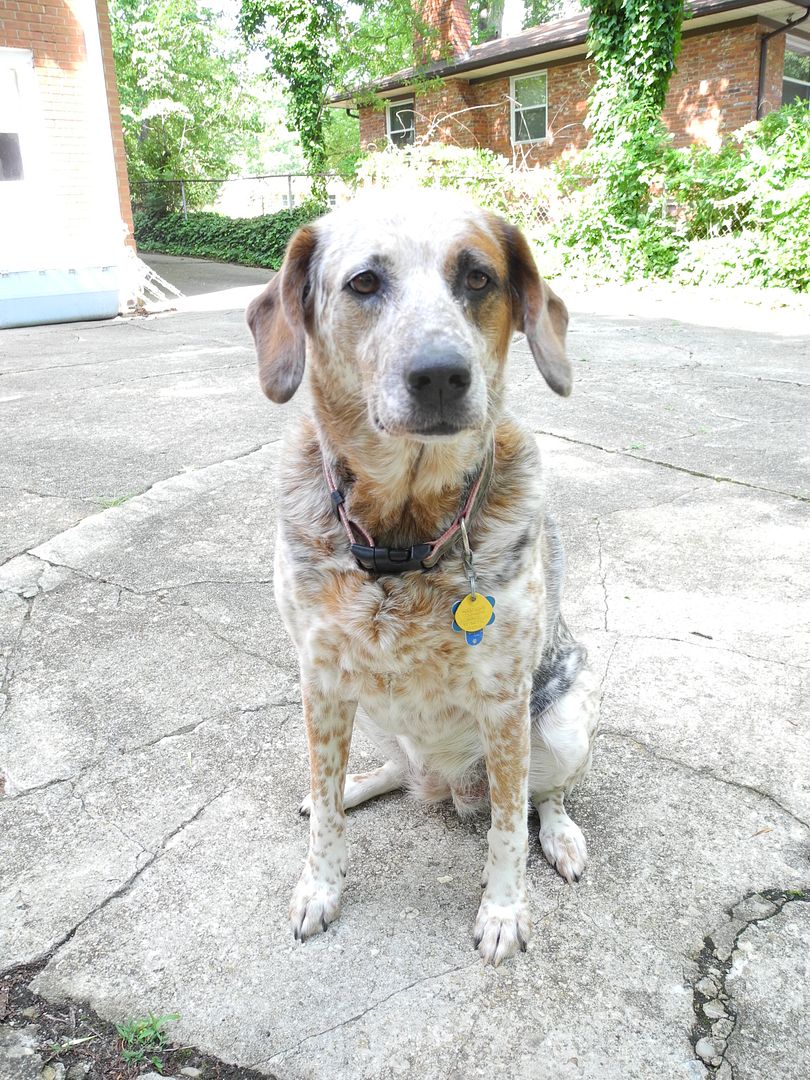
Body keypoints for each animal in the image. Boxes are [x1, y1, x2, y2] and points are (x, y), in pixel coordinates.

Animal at [247, 190, 604, 967]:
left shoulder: (505, 701)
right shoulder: (320, 679)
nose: (440, 374)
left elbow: (509, 824)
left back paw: (561, 835)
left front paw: (503, 911)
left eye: (478, 278)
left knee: (545, 797)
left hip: (563, 724)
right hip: (372, 718)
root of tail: (446, 786)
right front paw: (320, 884)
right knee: (387, 774)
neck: (402, 542)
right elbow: (325, 816)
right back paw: (358, 785)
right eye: (363, 283)